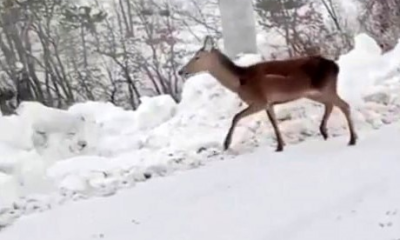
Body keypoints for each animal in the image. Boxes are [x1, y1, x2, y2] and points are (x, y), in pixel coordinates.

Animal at [177, 35, 358, 152]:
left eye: (197, 57)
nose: (181, 71)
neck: (239, 82)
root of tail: (335, 66)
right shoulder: (268, 103)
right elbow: (274, 122)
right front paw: (280, 145)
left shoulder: (259, 100)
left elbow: (236, 116)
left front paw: (226, 144)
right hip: (314, 92)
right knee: (332, 104)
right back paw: (325, 132)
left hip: (325, 87)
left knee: (344, 105)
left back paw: (352, 139)